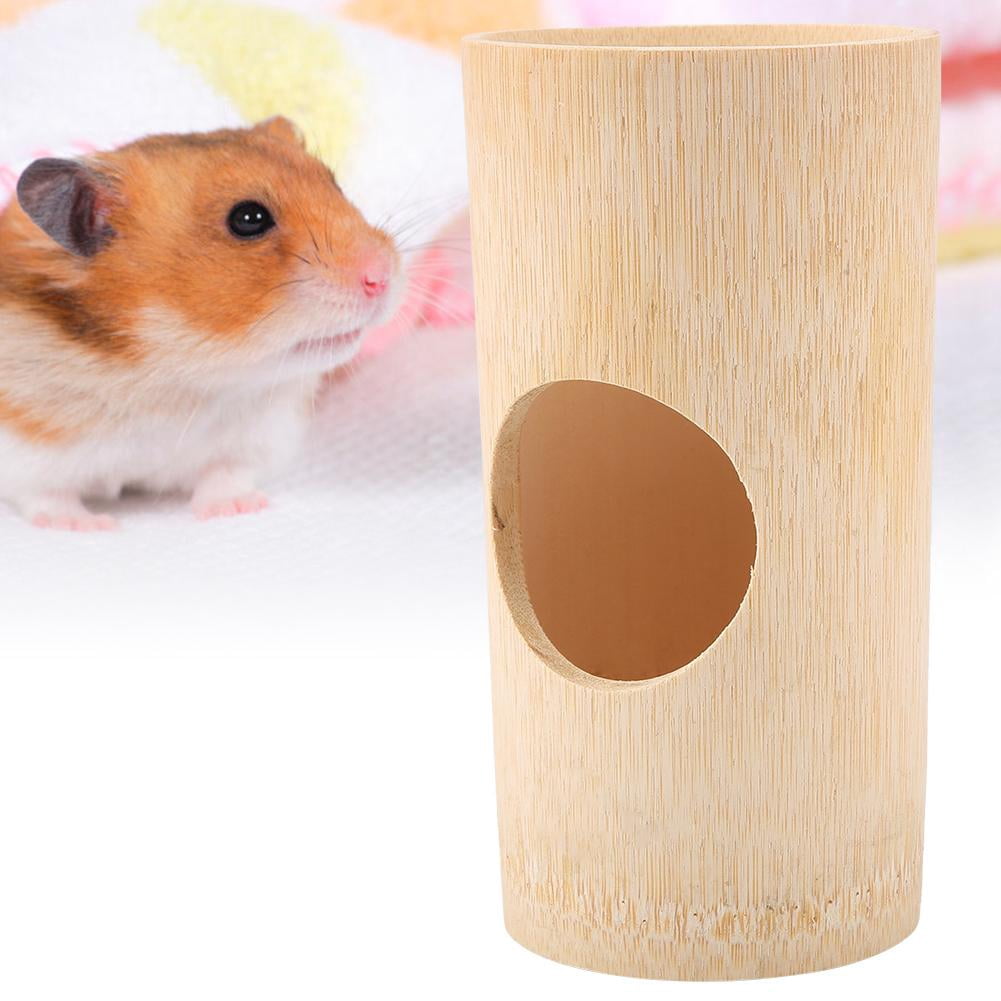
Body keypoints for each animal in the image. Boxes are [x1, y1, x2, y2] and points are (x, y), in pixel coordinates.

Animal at [0, 117, 400, 530]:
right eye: (248, 219)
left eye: (333, 183)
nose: (383, 276)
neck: (176, 377)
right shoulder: (27, 449)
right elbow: (47, 496)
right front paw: (90, 526)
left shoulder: (253, 440)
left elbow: (226, 476)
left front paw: (238, 508)